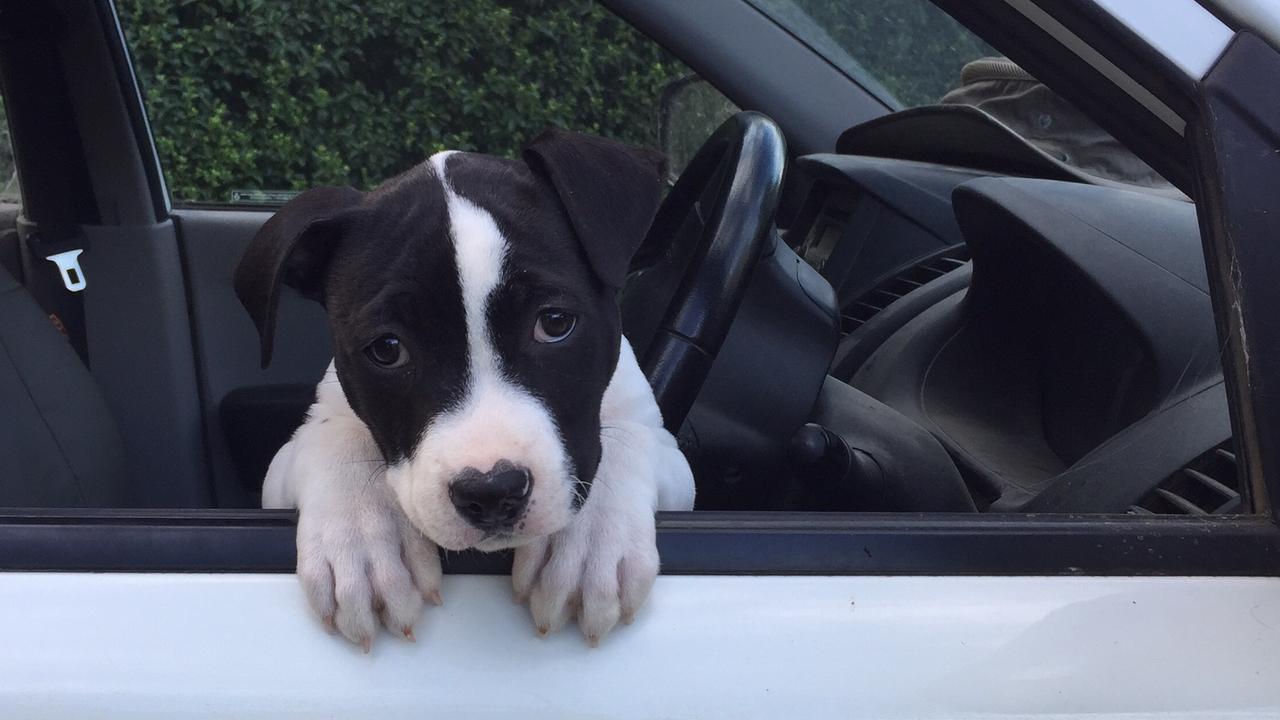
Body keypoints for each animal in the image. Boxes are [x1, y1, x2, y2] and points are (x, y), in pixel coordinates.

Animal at [235, 130, 696, 650]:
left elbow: (621, 440)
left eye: (555, 322)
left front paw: (585, 546)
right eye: (387, 349)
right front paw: (365, 544)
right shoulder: (283, 467)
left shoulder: (670, 458)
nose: (493, 492)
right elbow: (338, 437)